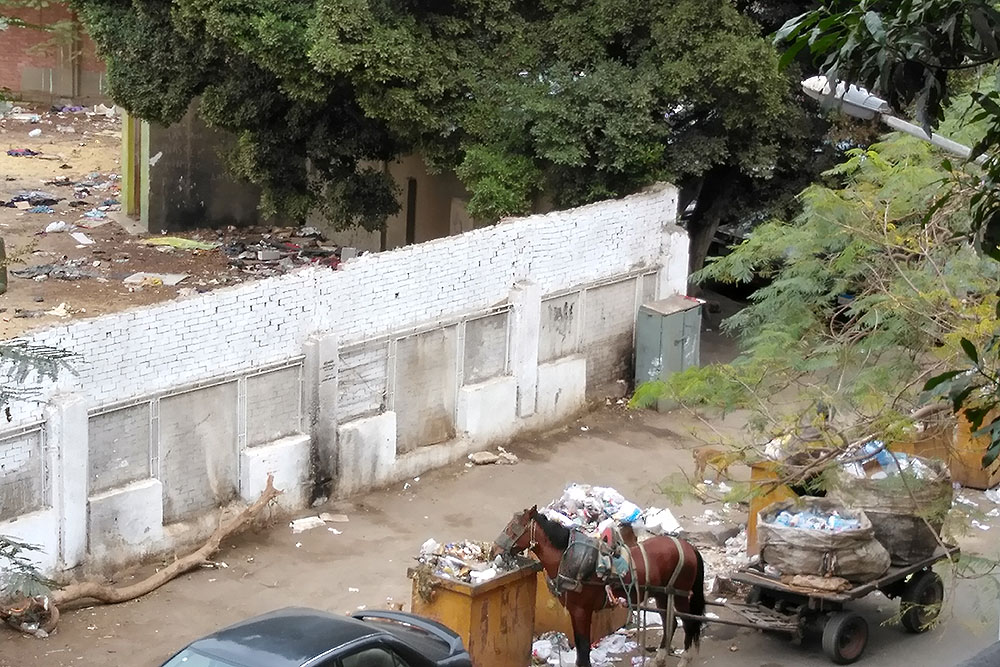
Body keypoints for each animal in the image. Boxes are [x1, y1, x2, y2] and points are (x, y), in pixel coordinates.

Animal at [492, 506, 704, 667]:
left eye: (512, 528)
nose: (494, 550)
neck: (567, 557)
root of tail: (689, 547)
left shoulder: (581, 611)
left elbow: (584, 647)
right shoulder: (576, 611)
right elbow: (581, 648)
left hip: (681, 595)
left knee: (689, 624)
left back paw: (684, 659)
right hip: (662, 594)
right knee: (671, 622)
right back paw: (659, 659)